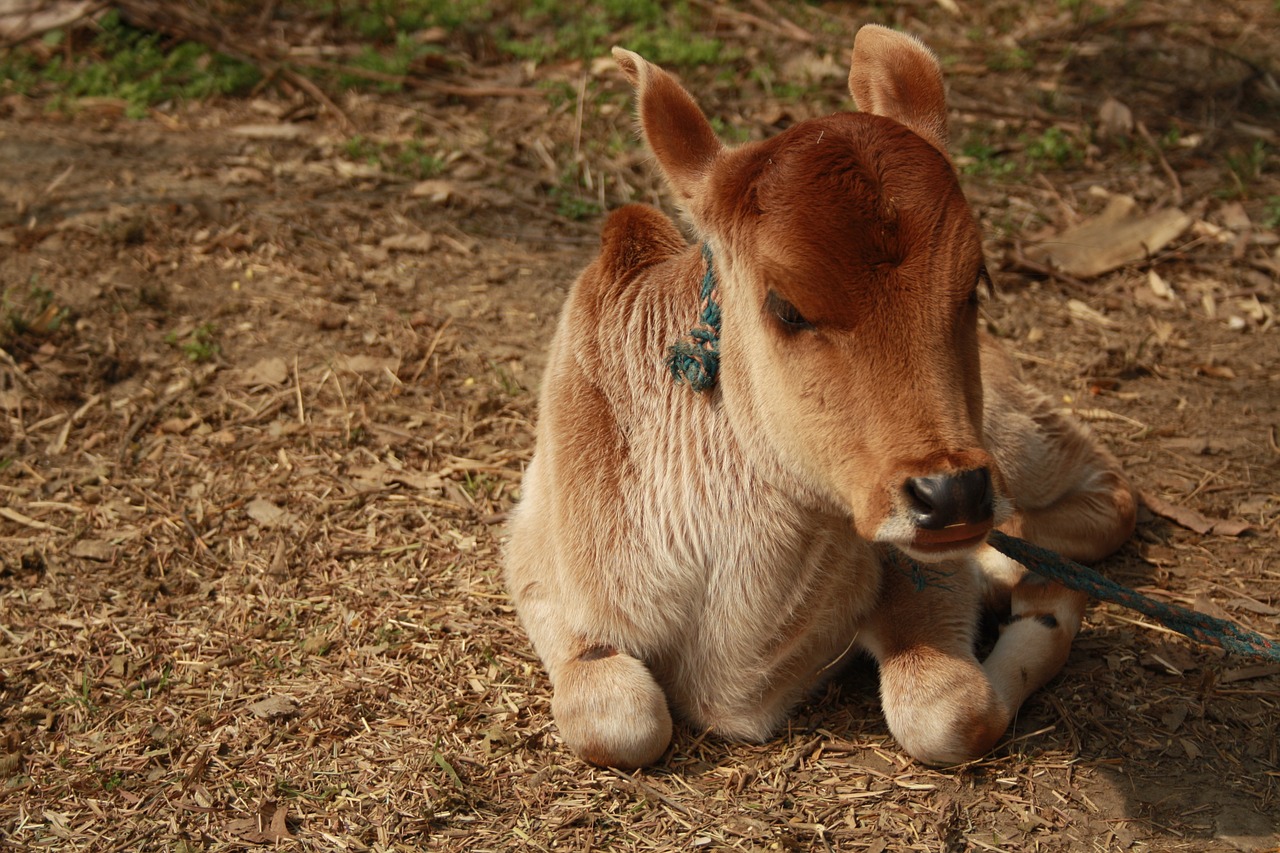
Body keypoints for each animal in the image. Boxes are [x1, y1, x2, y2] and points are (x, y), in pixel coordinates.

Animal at [504, 26, 1136, 768]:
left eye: (975, 282)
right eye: (787, 305)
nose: (950, 495)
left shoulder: (930, 572)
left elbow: (952, 711)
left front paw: (1047, 608)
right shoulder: (537, 565)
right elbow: (618, 719)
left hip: (1009, 434)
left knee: (1109, 495)